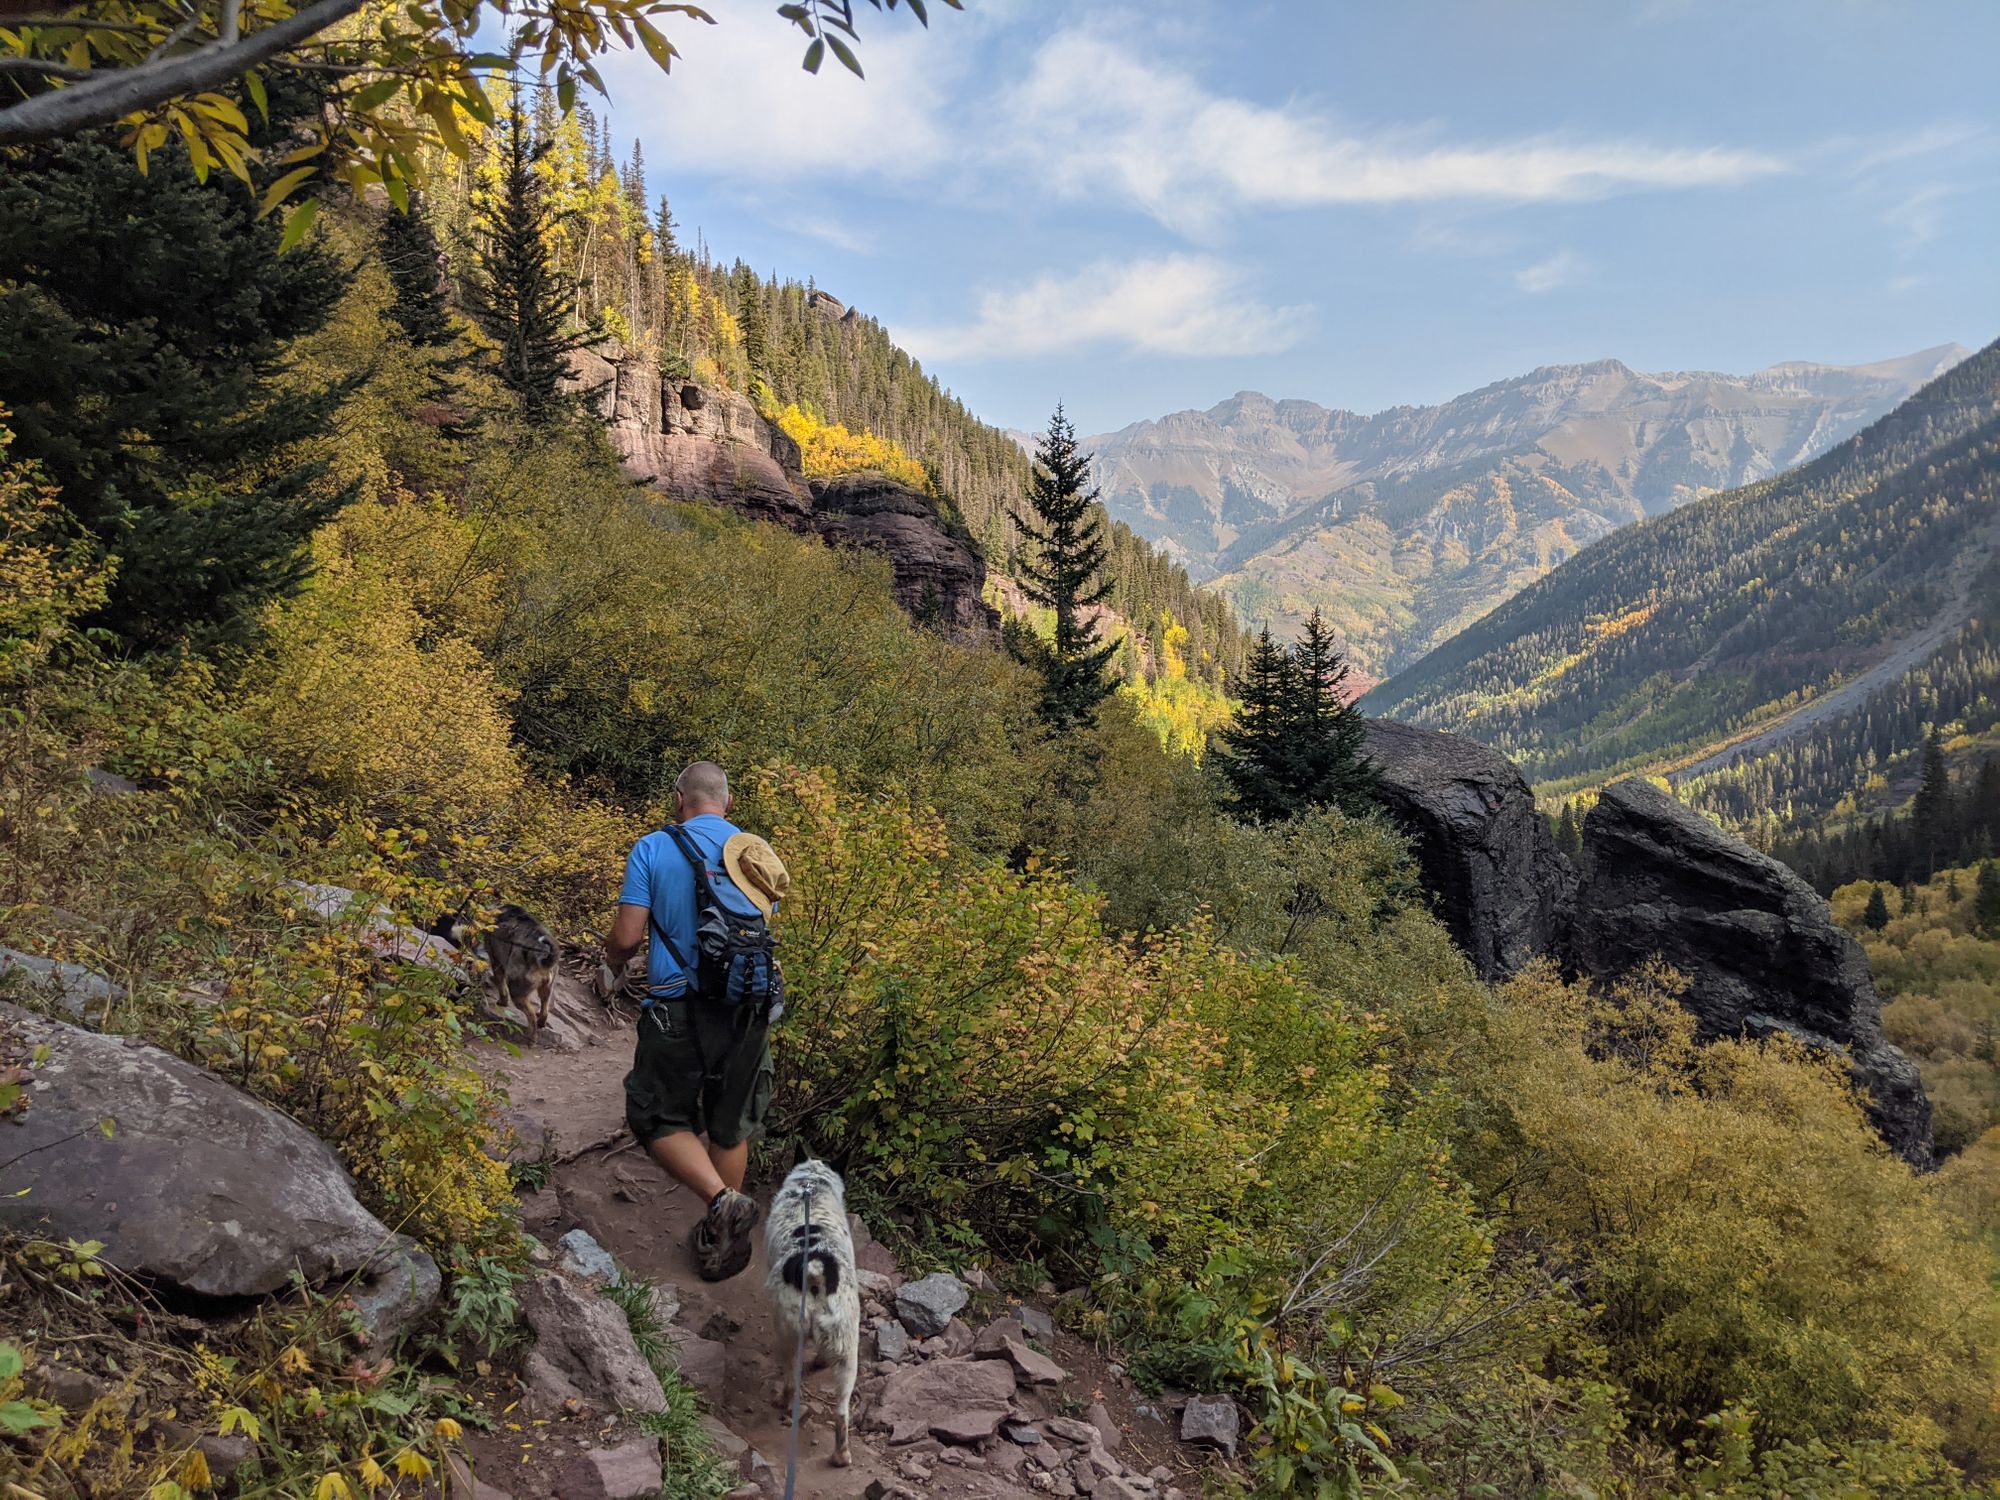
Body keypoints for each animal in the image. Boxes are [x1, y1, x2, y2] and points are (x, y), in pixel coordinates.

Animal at [760, 1160, 856, 1472]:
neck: (811, 1186)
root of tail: (815, 1268)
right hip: (848, 1346)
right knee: (841, 1411)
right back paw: (841, 1456)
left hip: (788, 1332)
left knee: (791, 1378)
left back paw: (782, 1400)